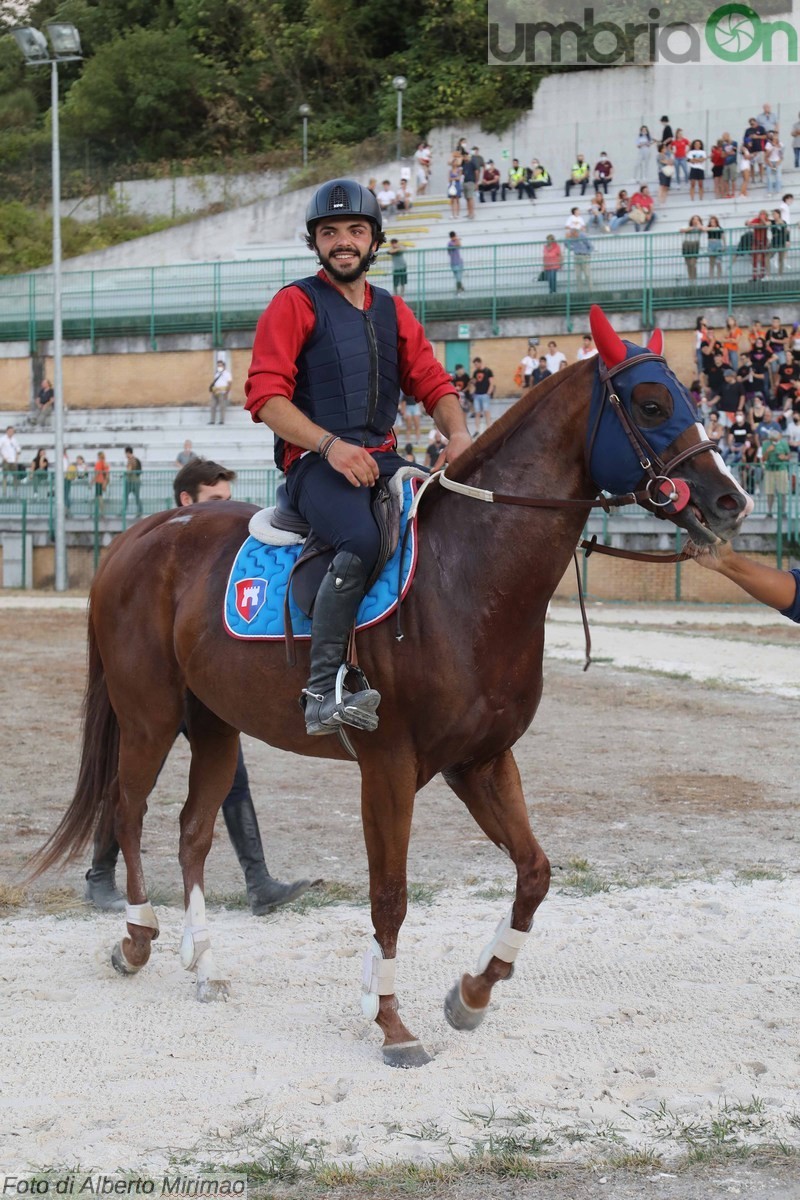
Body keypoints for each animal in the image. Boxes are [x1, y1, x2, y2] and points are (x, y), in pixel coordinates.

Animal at [29, 307, 753, 1070]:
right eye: (651, 404)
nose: (731, 500)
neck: (464, 573)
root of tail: (139, 535)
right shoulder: (388, 767)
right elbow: (390, 896)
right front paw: (391, 1021)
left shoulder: (481, 761)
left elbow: (534, 872)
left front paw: (473, 992)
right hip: (150, 716)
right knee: (129, 810)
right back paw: (138, 938)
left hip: (216, 726)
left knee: (193, 831)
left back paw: (203, 964)